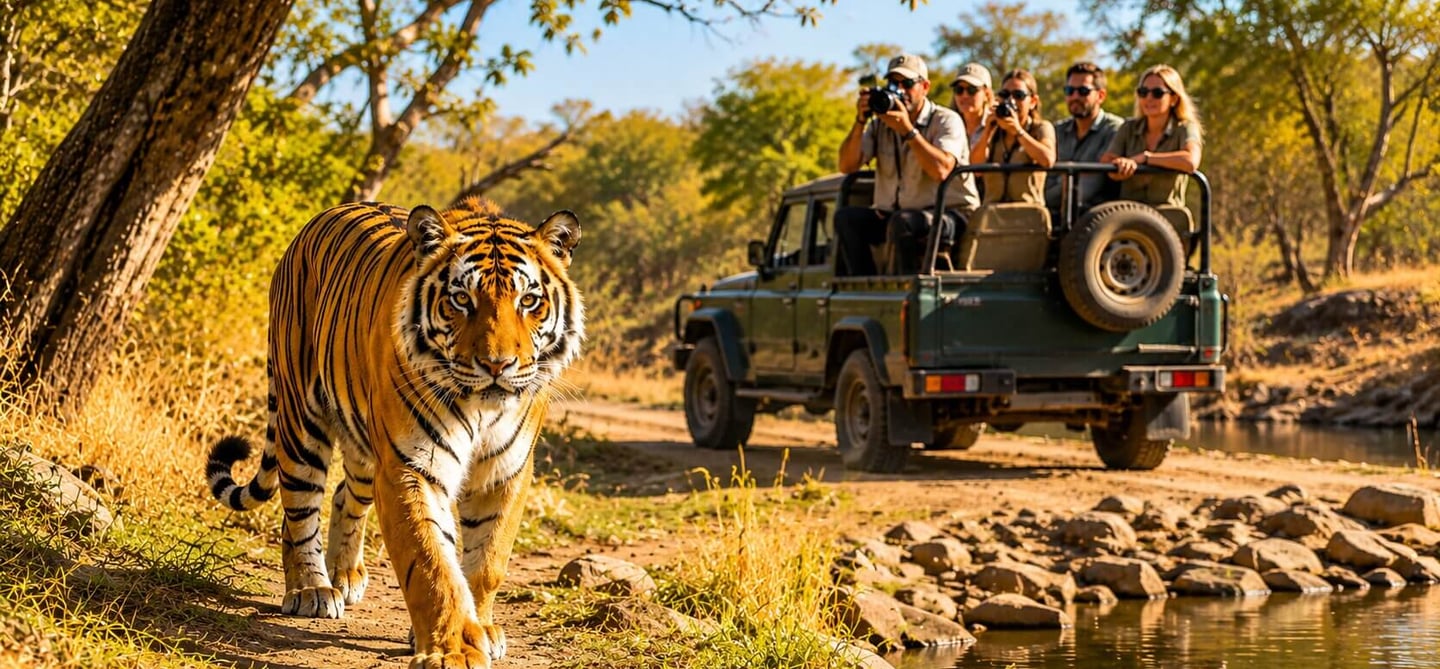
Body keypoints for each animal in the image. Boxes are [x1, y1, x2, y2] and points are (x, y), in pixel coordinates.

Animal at [206, 197, 583, 668]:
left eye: (529, 301)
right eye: (461, 299)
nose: (497, 366)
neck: (482, 406)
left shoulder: (505, 471)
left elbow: (487, 561)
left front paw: (482, 630)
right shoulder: (411, 465)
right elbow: (431, 562)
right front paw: (452, 650)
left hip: (364, 447)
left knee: (343, 495)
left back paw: (345, 576)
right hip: (300, 418)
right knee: (298, 507)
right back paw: (311, 589)